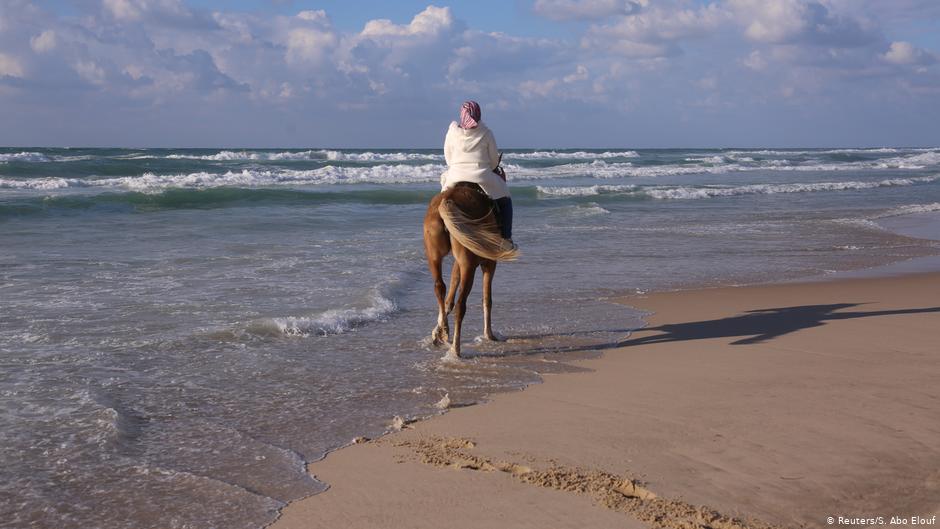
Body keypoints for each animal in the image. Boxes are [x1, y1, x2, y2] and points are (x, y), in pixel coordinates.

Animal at [422, 183, 516, 358]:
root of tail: (448, 199)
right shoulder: (489, 264)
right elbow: (487, 299)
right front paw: (489, 335)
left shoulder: (458, 264)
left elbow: (449, 297)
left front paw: (438, 331)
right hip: (469, 265)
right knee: (461, 305)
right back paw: (456, 349)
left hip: (435, 255)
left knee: (439, 287)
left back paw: (445, 332)